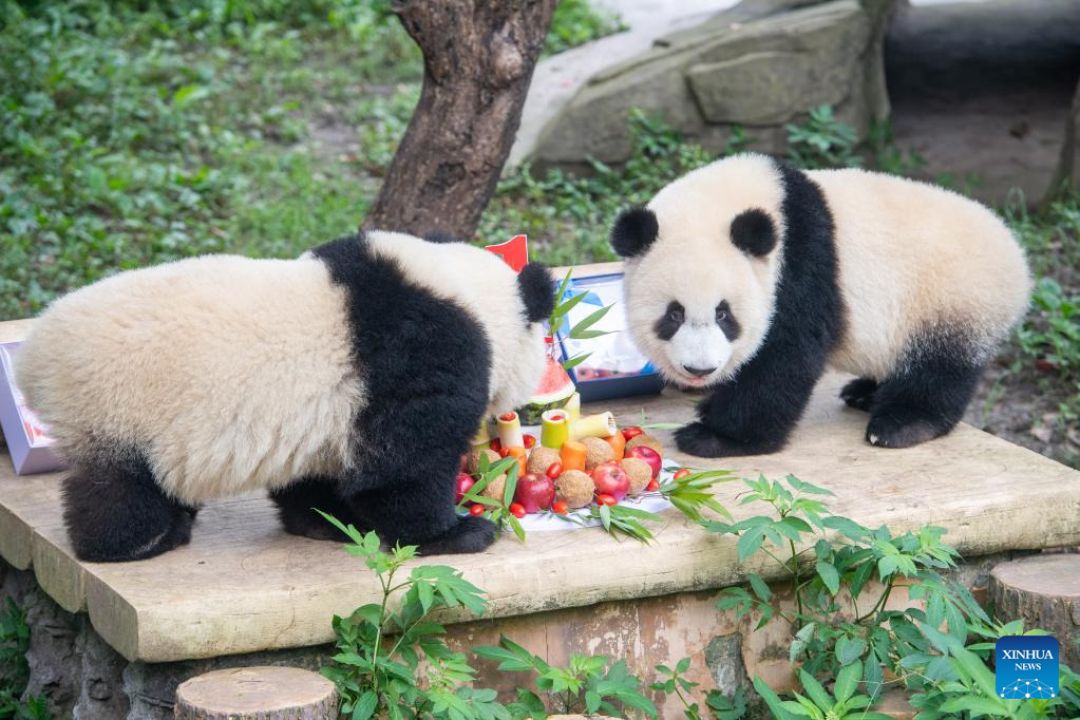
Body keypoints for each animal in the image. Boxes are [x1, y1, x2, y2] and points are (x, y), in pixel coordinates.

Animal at [14, 231, 557, 561]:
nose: (516, 410)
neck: (466, 292)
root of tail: (32, 359)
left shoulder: (327, 414)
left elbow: (319, 471)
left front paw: (326, 521)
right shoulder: (417, 356)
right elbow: (402, 468)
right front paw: (458, 532)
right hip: (118, 404)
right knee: (120, 488)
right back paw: (141, 541)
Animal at [609, 155, 1028, 459]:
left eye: (724, 314)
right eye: (674, 314)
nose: (699, 370)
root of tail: (1017, 258)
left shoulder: (801, 267)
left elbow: (785, 357)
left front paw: (715, 437)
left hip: (952, 298)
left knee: (939, 369)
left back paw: (901, 424)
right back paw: (864, 393)